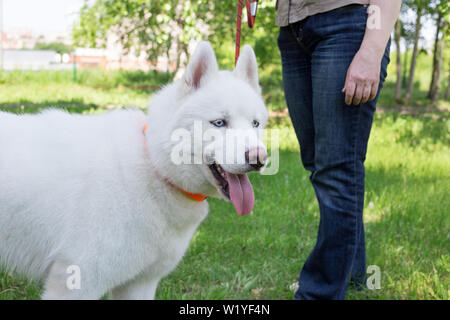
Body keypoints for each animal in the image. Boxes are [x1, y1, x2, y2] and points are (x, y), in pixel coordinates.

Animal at [0, 42, 268, 300]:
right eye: (219, 123)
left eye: (255, 124)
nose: (260, 159)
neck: (154, 166)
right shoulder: (76, 284)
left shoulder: (140, 283)